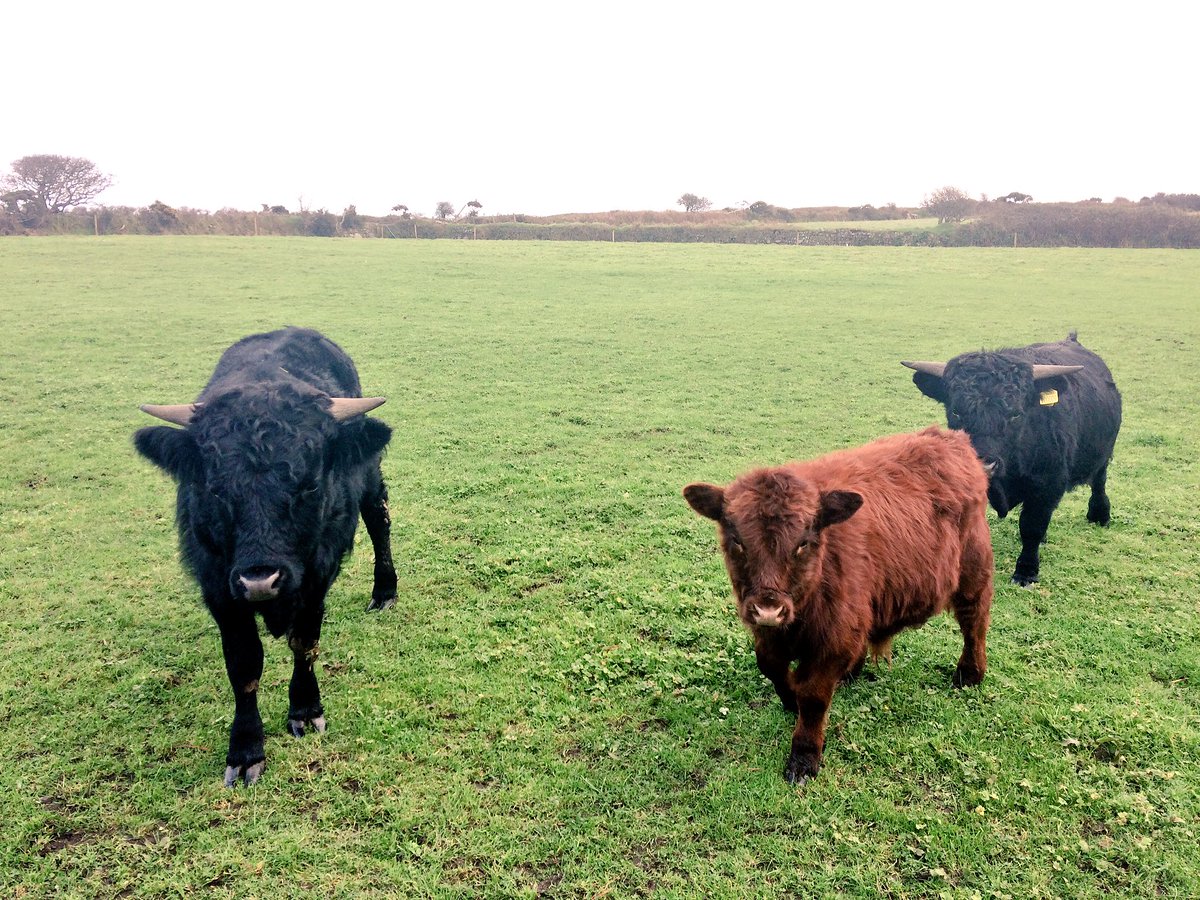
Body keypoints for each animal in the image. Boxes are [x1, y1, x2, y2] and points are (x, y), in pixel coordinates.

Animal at [134, 327, 397, 787]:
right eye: (215, 488)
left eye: (310, 485)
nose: (260, 580)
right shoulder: (219, 588)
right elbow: (244, 666)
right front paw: (245, 750)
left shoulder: (316, 578)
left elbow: (304, 643)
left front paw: (305, 711)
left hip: (369, 478)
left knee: (378, 519)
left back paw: (385, 591)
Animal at [684, 427, 993, 784]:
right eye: (737, 541)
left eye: (803, 543)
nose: (768, 609)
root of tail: (951, 438)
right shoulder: (770, 634)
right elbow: (772, 668)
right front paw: (790, 698)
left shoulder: (833, 638)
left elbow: (813, 694)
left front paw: (804, 757)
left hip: (974, 572)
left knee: (974, 621)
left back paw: (969, 674)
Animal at [902, 331, 1121, 586]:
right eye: (955, 412)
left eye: (1016, 414)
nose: (984, 464)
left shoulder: (1047, 484)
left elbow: (1031, 526)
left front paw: (1026, 571)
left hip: (1103, 454)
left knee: (1099, 482)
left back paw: (1100, 516)